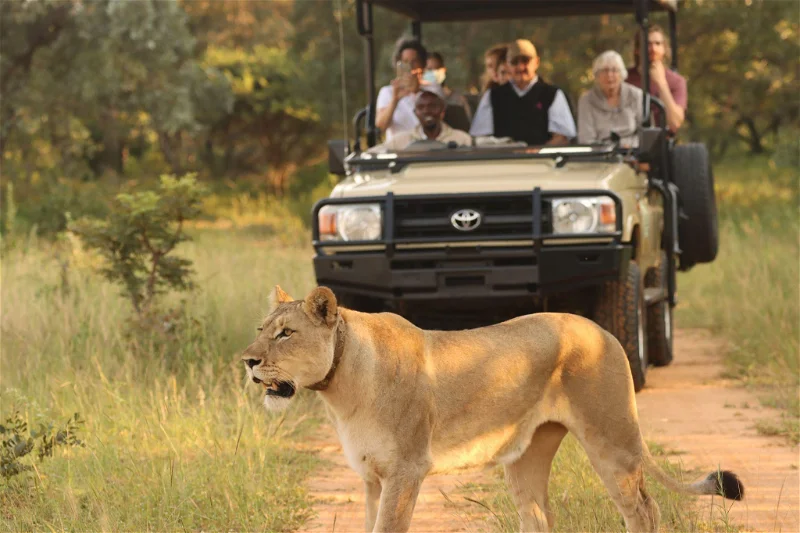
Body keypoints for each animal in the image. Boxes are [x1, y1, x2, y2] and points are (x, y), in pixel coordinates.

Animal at [242, 286, 744, 533]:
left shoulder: (406, 470)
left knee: (643, 508)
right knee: (539, 517)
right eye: (262, 329)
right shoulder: (370, 477)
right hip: (526, 457)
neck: (341, 386)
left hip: (612, 439)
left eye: (285, 333)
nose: (247, 360)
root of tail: (605, 330)